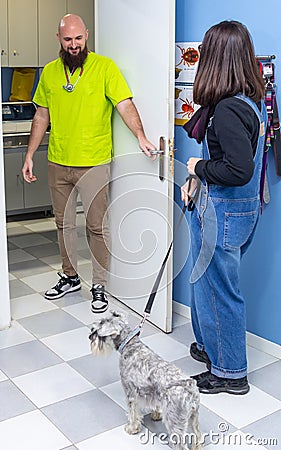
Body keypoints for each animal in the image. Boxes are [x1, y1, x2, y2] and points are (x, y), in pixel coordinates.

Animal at [88, 310, 200, 450]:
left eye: (97, 331)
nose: (90, 337)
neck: (130, 345)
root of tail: (190, 388)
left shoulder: (130, 392)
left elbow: (132, 412)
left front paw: (132, 428)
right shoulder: (153, 394)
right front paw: (156, 415)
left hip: (174, 421)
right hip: (193, 417)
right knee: (197, 435)